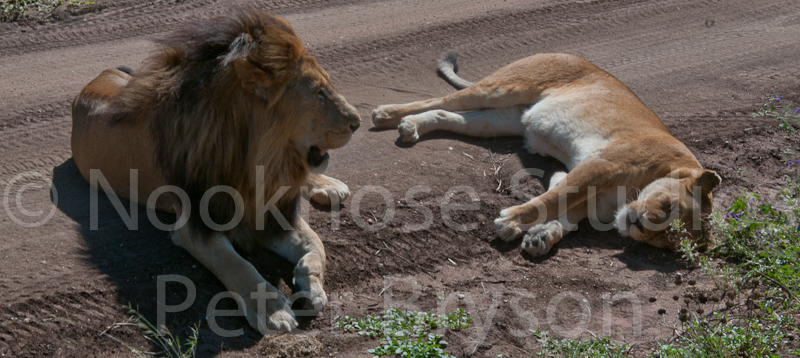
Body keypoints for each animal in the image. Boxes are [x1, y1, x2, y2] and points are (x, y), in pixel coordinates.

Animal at [72, 9, 360, 332]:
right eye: (319, 93)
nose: (358, 122)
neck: (257, 163)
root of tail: (98, 76)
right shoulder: (196, 225)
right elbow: (235, 263)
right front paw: (271, 309)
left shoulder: (272, 208)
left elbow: (316, 243)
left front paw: (312, 286)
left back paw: (328, 185)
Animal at [374, 52, 720, 255]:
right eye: (667, 205)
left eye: (671, 238)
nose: (639, 225)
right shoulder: (603, 165)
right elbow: (557, 196)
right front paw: (511, 220)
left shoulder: (598, 200)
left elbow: (567, 212)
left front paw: (542, 234)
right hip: (503, 88)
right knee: (443, 99)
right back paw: (387, 114)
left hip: (503, 119)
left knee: (448, 114)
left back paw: (413, 126)